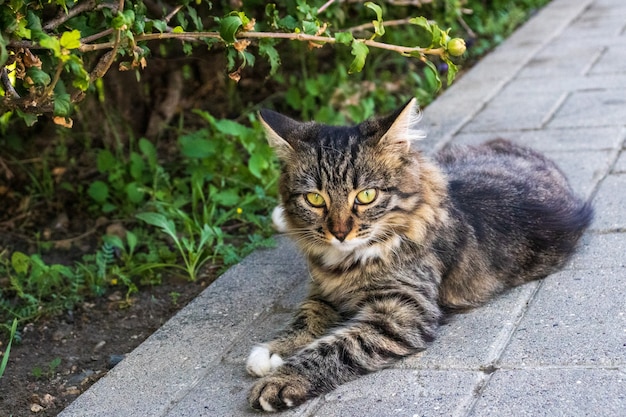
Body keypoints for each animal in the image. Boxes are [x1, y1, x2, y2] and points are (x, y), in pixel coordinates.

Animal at [244, 98, 588, 412]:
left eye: (366, 196)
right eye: (315, 199)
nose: (339, 232)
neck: (346, 262)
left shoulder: (401, 313)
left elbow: (337, 347)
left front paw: (282, 379)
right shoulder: (322, 293)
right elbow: (305, 319)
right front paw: (273, 351)